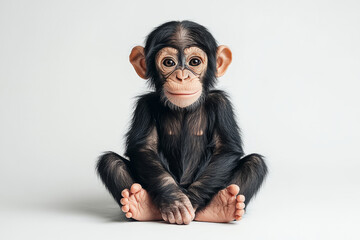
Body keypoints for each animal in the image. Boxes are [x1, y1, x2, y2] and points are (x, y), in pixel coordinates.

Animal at [96, 20, 268, 225]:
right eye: (169, 63)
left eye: (195, 62)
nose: (182, 76)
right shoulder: (144, 106)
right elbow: (144, 148)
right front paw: (175, 201)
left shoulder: (222, 104)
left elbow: (225, 148)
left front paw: (191, 200)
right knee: (110, 162)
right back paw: (140, 204)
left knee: (254, 163)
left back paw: (222, 206)